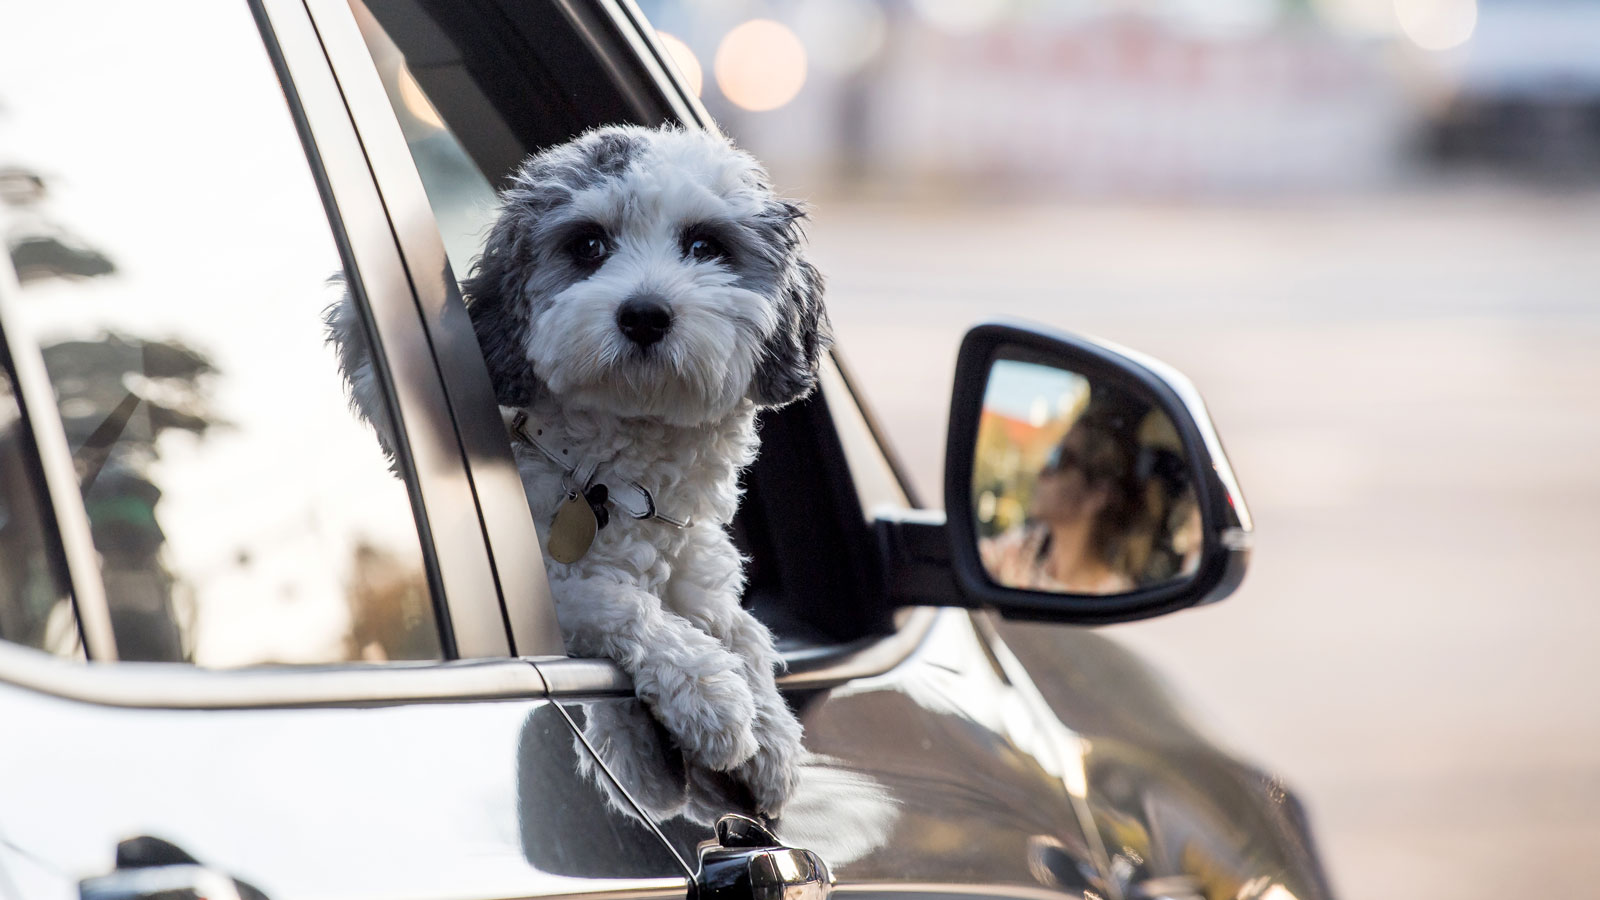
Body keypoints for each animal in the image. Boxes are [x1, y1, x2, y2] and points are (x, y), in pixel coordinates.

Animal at [324, 122, 825, 816]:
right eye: (588, 245)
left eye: (705, 246)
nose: (644, 314)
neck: (612, 478)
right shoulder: (558, 584)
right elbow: (617, 602)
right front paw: (706, 691)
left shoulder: (695, 558)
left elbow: (742, 625)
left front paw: (772, 727)